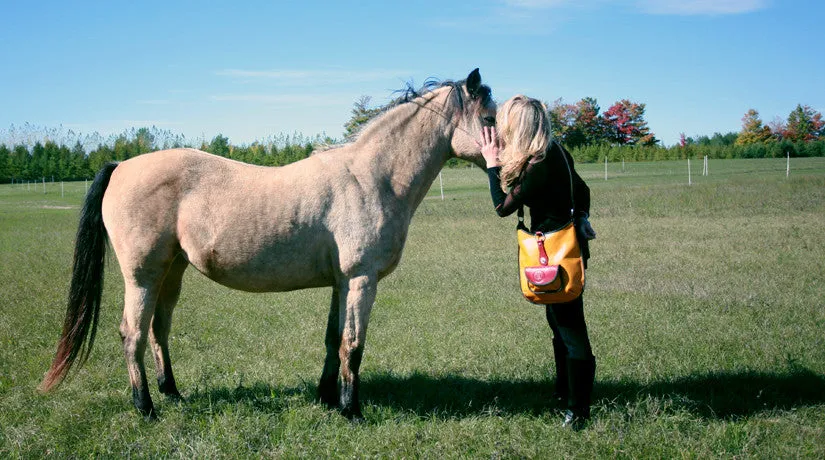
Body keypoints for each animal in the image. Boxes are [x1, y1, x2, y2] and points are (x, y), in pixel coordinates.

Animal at [40, 69, 496, 420]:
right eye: (490, 117)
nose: (508, 166)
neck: (370, 177)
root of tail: (122, 166)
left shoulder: (341, 283)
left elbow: (333, 340)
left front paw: (326, 399)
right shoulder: (361, 280)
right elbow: (353, 345)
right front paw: (352, 410)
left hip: (171, 271)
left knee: (158, 329)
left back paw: (172, 392)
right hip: (142, 276)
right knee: (131, 333)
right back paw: (146, 407)